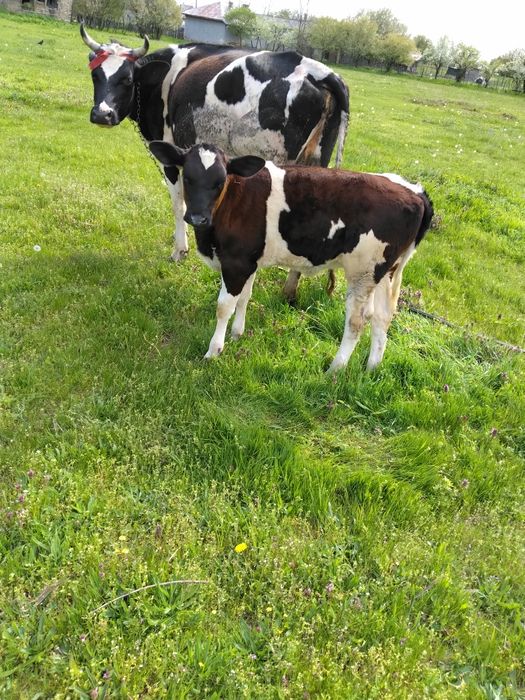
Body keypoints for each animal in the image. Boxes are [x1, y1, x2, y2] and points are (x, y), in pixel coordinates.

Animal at [80, 25, 349, 301]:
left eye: (127, 79)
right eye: (96, 76)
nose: (102, 114)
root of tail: (321, 72)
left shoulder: (172, 154)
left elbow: (178, 202)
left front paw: (179, 251)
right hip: (318, 159)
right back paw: (289, 290)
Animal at [147, 141, 434, 372]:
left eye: (220, 181)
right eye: (188, 177)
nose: (197, 218)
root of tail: (415, 191)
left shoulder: (235, 262)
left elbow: (224, 306)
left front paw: (213, 351)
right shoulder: (249, 261)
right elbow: (244, 299)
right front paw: (237, 334)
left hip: (363, 272)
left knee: (357, 321)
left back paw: (336, 369)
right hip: (386, 271)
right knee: (382, 317)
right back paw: (372, 367)